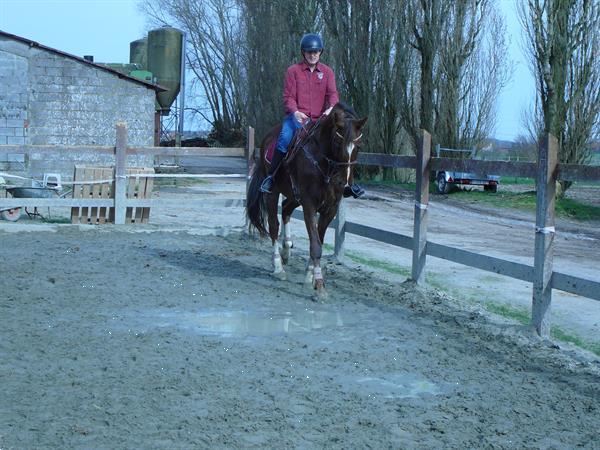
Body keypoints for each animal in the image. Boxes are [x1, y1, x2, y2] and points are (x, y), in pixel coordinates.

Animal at [246, 102, 368, 298]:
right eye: (337, 142)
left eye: (359, 146)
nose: (345, 185)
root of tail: (267, 138)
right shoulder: (309, 204)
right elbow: (315, 245)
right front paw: (319, 285)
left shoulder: (330, 208)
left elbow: (318, 240)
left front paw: (309, 276)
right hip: (272, 193)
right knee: (273, 226)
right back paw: (278, 266)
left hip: (295, 197)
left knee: (286, 209)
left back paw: (286, 250)